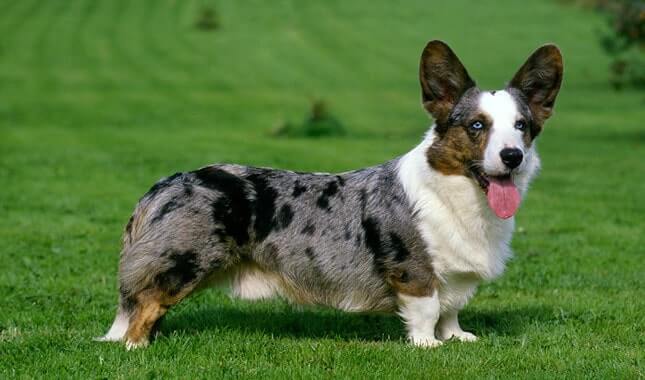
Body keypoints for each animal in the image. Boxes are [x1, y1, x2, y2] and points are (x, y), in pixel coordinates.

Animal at [98, 40, 560, 348]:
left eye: (522, 126)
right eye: (476, 126)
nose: (513, 156)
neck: (459, 195)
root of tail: (166, 184)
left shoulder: (455, 275)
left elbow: (451, 309)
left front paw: (458, 337)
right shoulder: (414, 270)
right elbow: (428, 308)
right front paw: (429, 345)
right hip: (183, 263)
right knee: (145, 305)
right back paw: (137, 347)